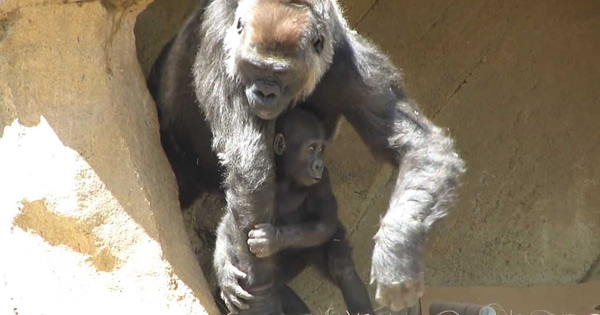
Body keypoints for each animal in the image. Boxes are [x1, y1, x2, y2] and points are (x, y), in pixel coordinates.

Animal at [217, 110, 370, 314]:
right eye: (312, 148)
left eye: (321, 149)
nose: (319, 165)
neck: (285, 178)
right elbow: (229, 223)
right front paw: (225, 275)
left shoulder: (323, 180)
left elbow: (325, 221)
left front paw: (272, 239)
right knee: (277, 285)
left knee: (342, 267)